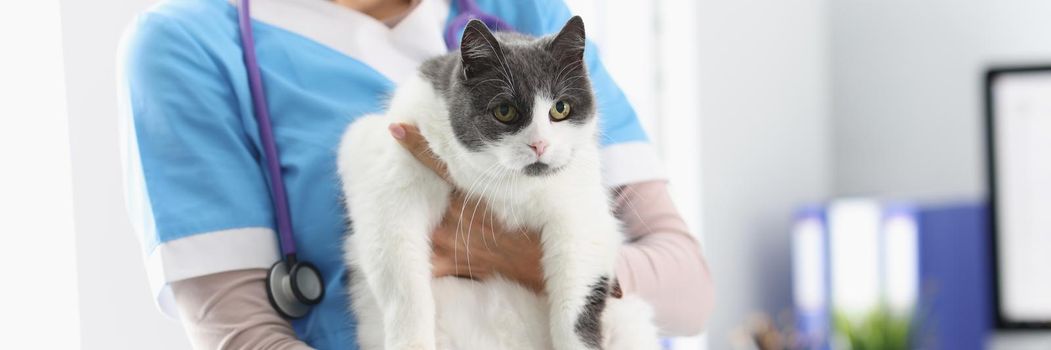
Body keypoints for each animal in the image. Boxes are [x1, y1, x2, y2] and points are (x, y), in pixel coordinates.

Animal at [338, 17, 655, 348]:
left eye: (560, 109)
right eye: (504, 111)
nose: (540, 144)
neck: (505, 182)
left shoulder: (582, 210)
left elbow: (576, 304)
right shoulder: (386, 161)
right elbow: (403, 281)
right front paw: (411, 340)